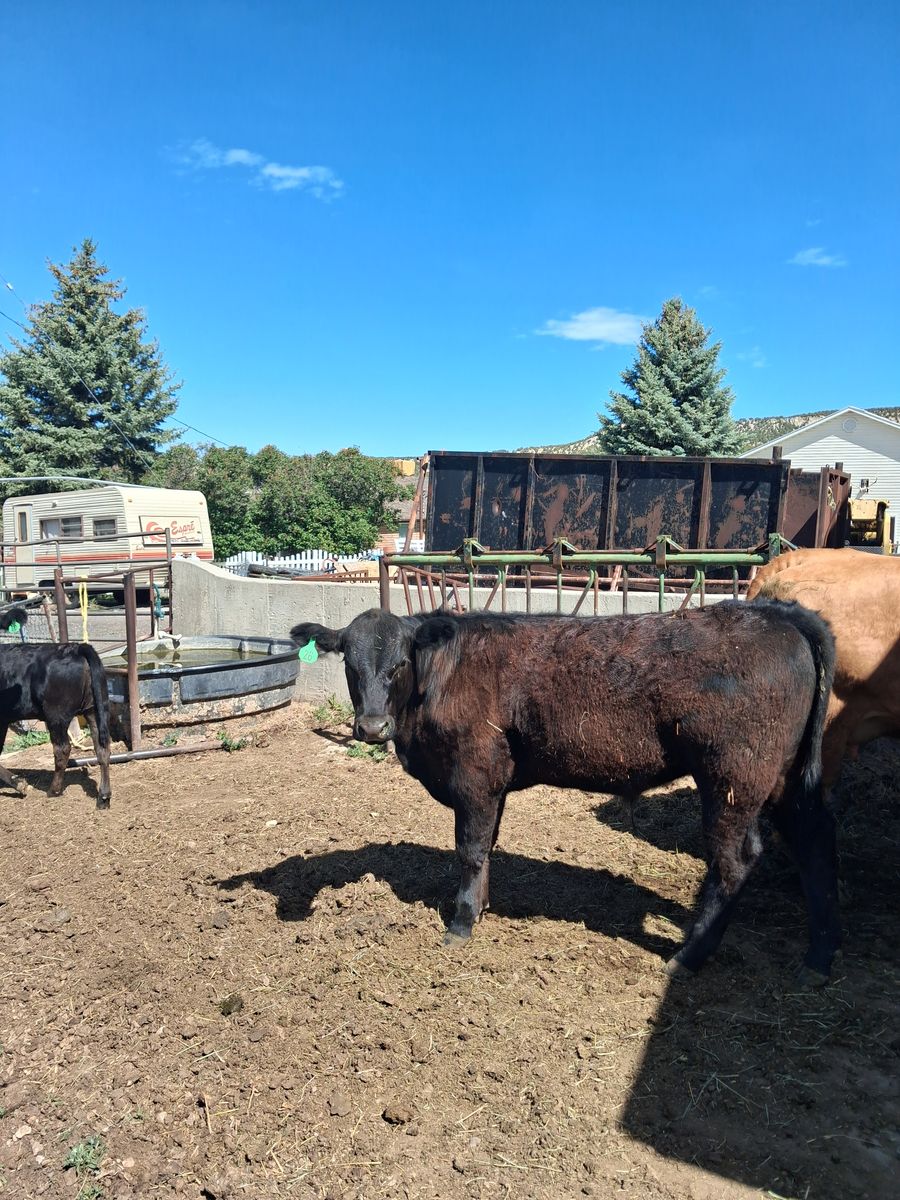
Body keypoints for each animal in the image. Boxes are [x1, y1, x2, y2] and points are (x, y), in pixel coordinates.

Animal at [0, 607, 112, 808]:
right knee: (102, 747)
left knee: (62, 749)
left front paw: (19, 784)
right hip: (95, 709)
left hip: (56, 714)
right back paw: (104, 797)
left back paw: (54, 790)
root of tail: (76, 648)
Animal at [292, 601, 840, 982]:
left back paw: (688, 956)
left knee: (735, 863)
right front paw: (481, 907)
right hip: (786, 780)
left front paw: (461, 923)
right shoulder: (495, 781)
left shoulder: (475, 774)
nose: (371, 727)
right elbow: (488, 847)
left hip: (733, 780)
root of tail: (779, 613)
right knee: (815, 845)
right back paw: (819, 956)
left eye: (400, 663)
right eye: (349, 663)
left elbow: (470, 850)